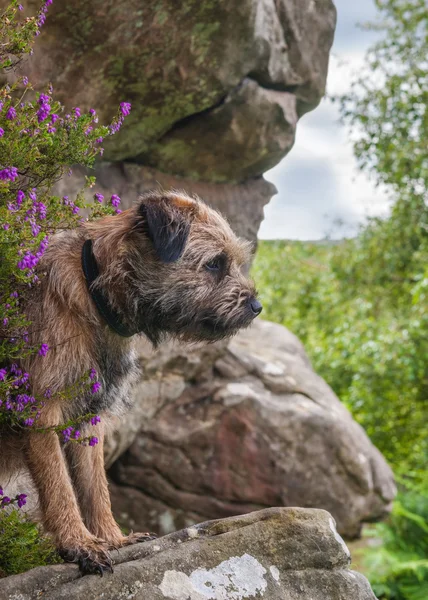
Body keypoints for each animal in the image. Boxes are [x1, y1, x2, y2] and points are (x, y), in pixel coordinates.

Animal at [0, 190, 262, 576]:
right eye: (215, 263)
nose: (257, 306)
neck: (93, 292)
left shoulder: (87, 420)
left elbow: (95, 485)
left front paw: (112, 537)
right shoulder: (42, 411)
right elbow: (59, 485)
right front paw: (78, 543)